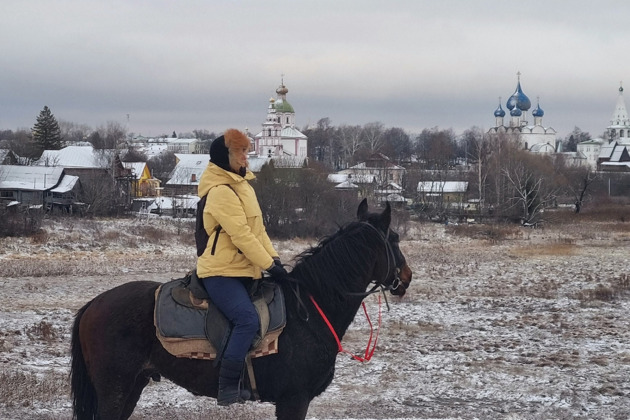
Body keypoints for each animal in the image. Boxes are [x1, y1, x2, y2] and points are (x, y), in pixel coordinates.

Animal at [70, 199, 414, 418]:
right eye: (395, 238)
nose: (407, 277)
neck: (309, 309)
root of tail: (93, 304)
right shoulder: (294, 400)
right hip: (115, 389)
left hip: (132, 386)